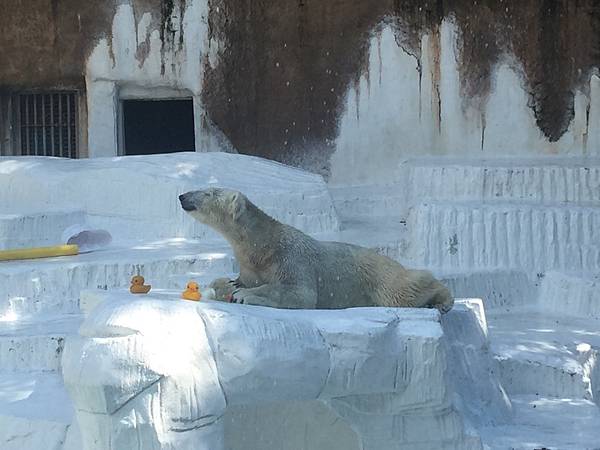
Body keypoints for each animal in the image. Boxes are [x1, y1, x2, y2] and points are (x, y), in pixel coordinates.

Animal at [180, 187, 452, 312]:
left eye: (209, 192)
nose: (183, 196)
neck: (263, 244)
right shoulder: (250, 264)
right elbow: (237, 280)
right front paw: (226, 286)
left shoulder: (291, 257)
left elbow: (300, 292)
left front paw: (245, 295)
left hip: (382, 276)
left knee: (404, 289)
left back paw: (442, 300)